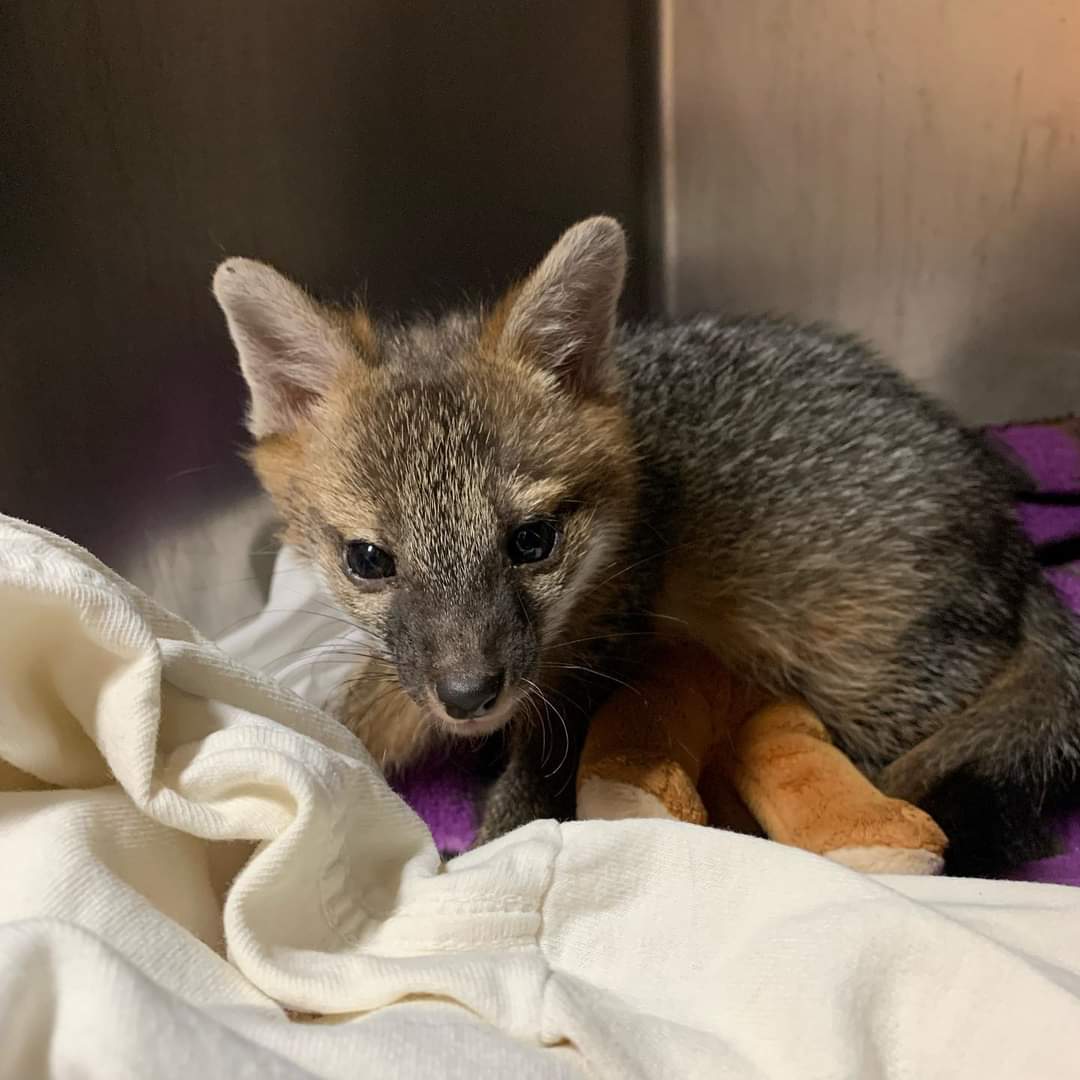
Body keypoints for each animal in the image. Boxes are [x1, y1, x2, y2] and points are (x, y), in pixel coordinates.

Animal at [213, 216, 1080, 874]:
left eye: (532, 541)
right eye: (369, 560)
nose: (468, 699)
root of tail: (1009, 534)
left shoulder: (587, 657)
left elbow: (530, 784)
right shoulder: (441, 669)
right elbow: (365, 705)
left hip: (850, 676)